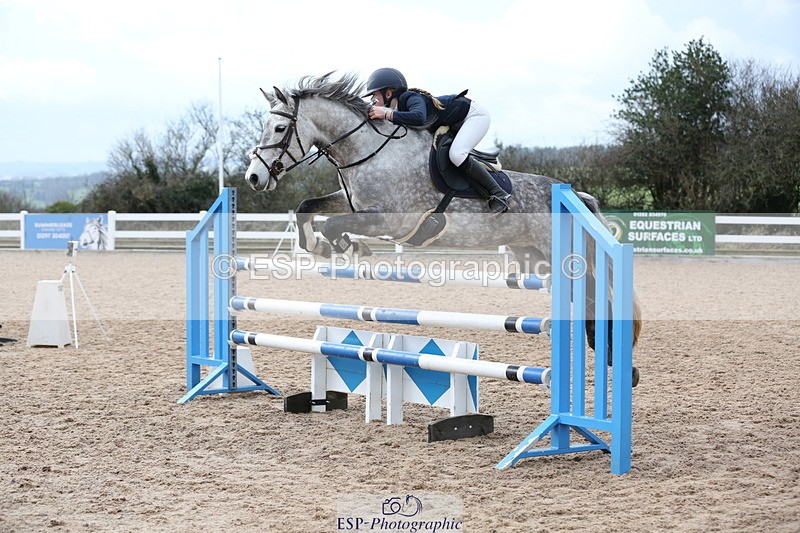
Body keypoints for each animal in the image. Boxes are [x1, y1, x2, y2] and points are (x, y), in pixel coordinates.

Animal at [244, 73, 642, 381]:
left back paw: (619, 362)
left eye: (279, 127)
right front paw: (322, 247)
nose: (253, 178)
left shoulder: (387, 219)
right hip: (535, 258)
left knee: (596, 300)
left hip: (566, 258)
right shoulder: (353, 203)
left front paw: (343, 246)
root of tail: (573, 193)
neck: (367, 151)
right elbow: (307, 208)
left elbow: (333, 224)